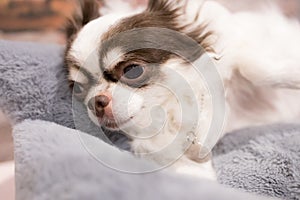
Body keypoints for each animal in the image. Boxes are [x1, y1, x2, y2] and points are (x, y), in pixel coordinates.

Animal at [63, 0, 300, 180]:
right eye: (79, 88)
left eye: (132, 71)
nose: (96, 101)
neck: (173, 109)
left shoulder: (237, 47)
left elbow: (256, 69)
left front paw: (294, 75)